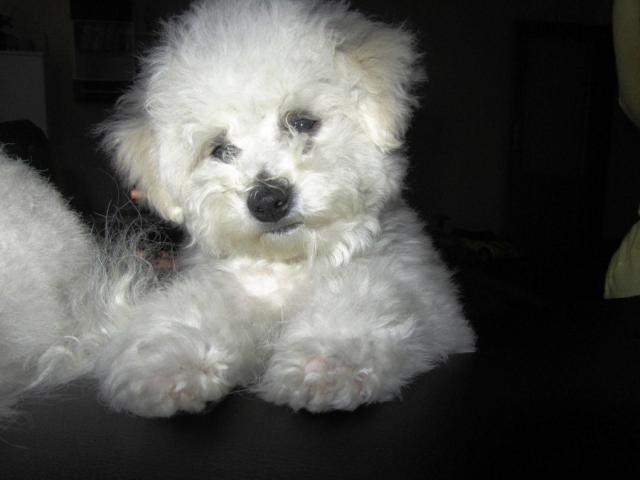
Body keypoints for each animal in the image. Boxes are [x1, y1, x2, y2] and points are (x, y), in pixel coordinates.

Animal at [0, 0, 475, 418]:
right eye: (220, 149)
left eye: (301, 122)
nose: (267, 199)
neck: (289, 267)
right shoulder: (220, 284)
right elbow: (191, 312)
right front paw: (168, 365)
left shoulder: (420, 298)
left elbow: (361, 304)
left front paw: (326, 362)